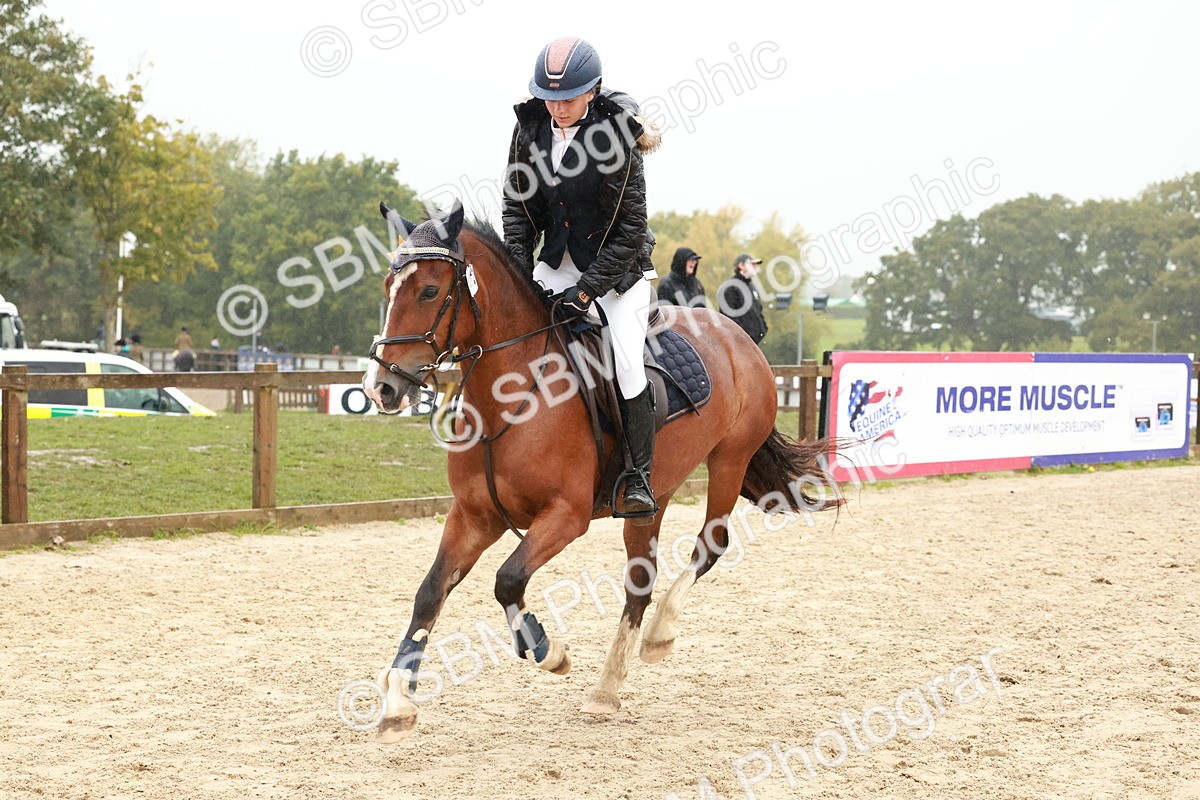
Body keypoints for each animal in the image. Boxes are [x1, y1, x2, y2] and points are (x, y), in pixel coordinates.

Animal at [363, 200, 841, 742]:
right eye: (389, 286)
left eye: (428, 290)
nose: (381, 387)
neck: (510, 394)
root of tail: (737, 335)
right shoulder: (473, 517)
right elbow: (429, 594)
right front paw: (398, 704)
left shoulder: (566, 516)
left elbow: (507, 580)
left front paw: (548, 651)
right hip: (654, 497)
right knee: (640, 582)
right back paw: (607, 689)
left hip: (729, 462)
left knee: (710, 545)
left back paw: (658, 636)